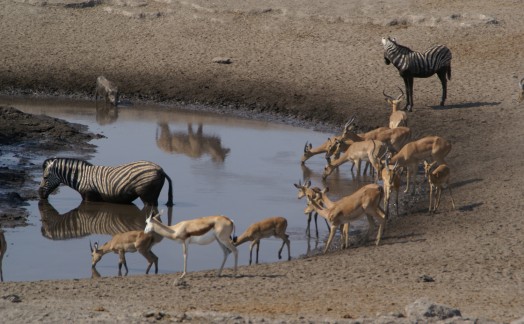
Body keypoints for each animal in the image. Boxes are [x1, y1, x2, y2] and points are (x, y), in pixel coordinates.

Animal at [39, 158, 174, 206]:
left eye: (45, 177)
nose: (39, 195)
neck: (81, 177)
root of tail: (160, 169)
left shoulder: (89, 196)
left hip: (146, 195)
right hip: (153, 195)